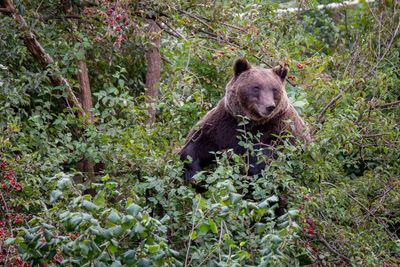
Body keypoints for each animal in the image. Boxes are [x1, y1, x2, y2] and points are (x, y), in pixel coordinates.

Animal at [180, 59, 310, 182]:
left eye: (274, 89)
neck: (251, 121)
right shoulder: (224, 124)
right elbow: (198, 143)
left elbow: (271, 154)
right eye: (256, 87)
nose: (269, 106)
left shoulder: (279, 128)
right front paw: (192, 173)